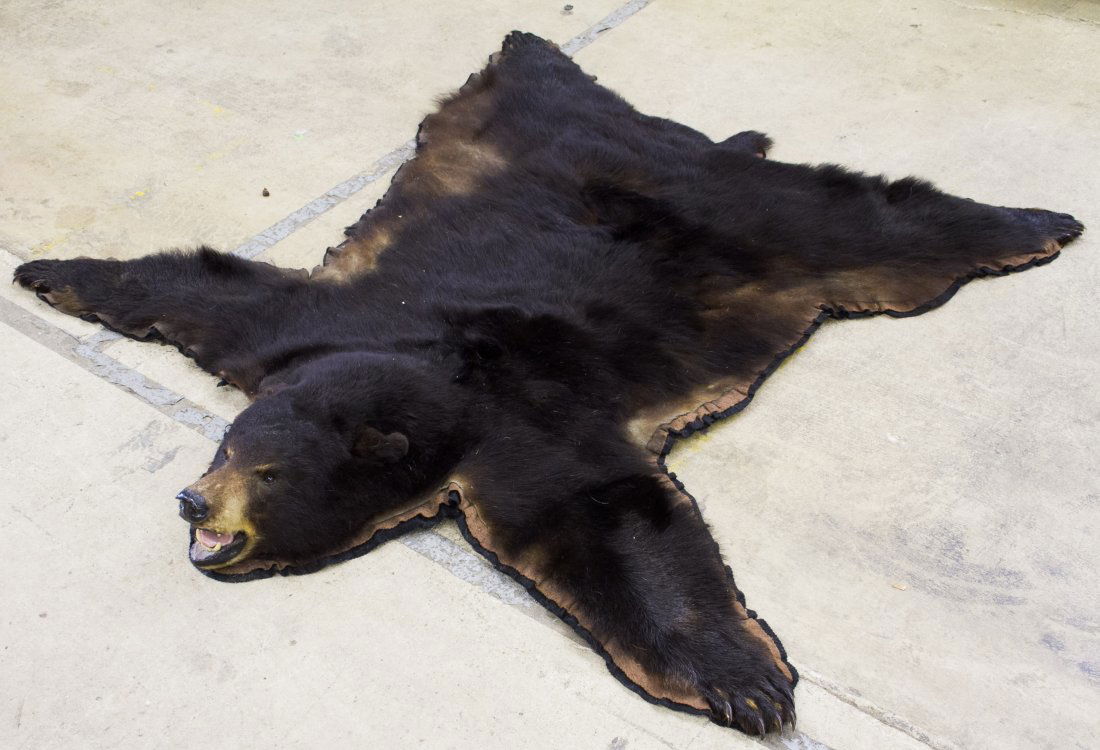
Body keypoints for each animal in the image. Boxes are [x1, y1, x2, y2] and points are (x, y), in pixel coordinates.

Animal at [13, 32, 1082, 736]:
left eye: (270, 475)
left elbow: (612, 517)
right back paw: (535, 45)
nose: (195, 500)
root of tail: (694, 154)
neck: (436, 373)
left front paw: (747, 681)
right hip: (548, 130)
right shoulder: (303, 333)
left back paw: (1041, 221)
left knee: (878, 216)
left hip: (774, 228)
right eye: (230, 444)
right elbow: (208, 288)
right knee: (547, 82)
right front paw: (49, 271)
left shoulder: (528, 425)